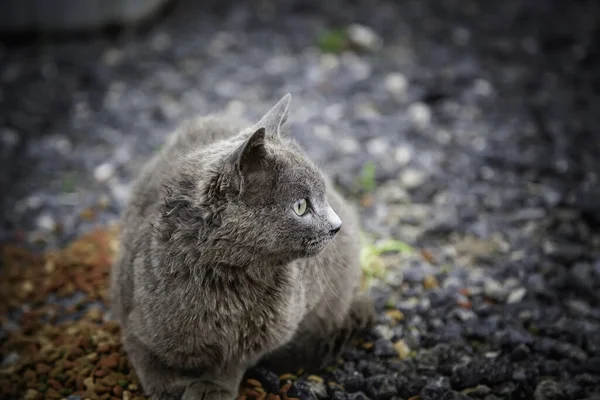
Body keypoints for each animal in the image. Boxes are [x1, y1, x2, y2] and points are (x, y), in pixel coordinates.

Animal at [110, 94, 376, 400]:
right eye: (300, 206)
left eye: (323, 196)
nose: (336, 225)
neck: (228, 286)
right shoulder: (131, 317)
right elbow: (149, 362)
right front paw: (168, 390)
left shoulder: (265, 335)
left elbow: (232, 362)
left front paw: (213, 388)